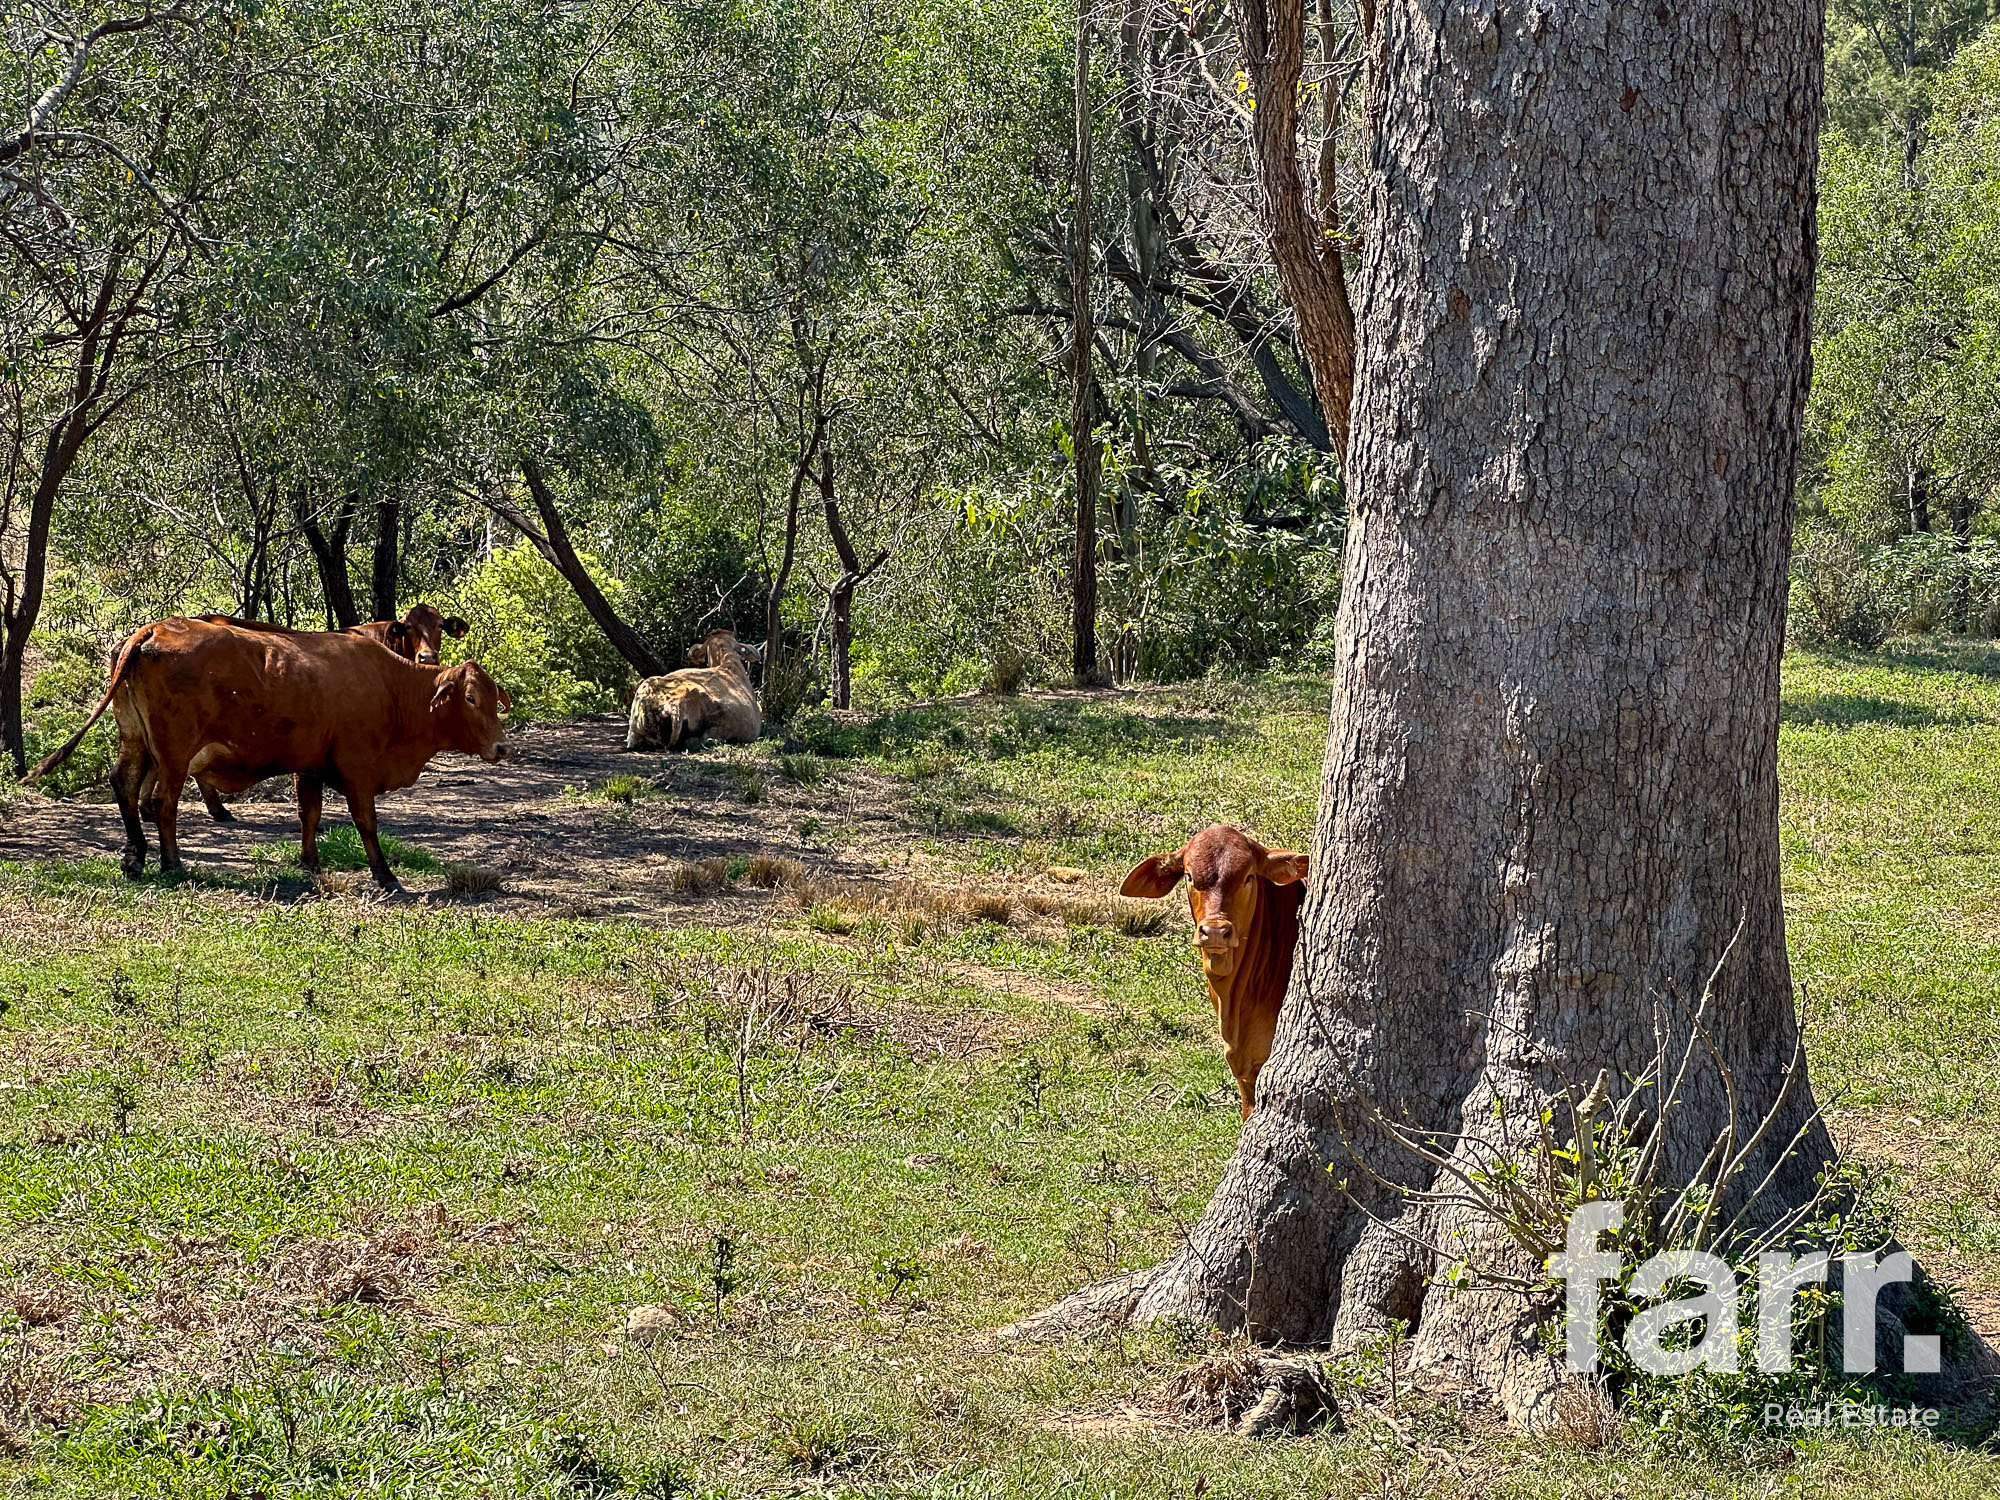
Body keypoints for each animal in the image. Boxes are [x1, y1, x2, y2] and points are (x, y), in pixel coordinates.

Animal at [30, 612, 508, 888]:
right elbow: (366, 823)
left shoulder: (311, 765)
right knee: (162, 802)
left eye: (494, 698)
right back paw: (171, 863)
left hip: (137, 742)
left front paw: (311, 863)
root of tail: (156, 628)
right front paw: (385, 875)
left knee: (126, 787)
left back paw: (135, 858)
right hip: (173, 753)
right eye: (470, 698)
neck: (390, 686)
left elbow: (309, 814)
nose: (501, 747)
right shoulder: (357, 768)